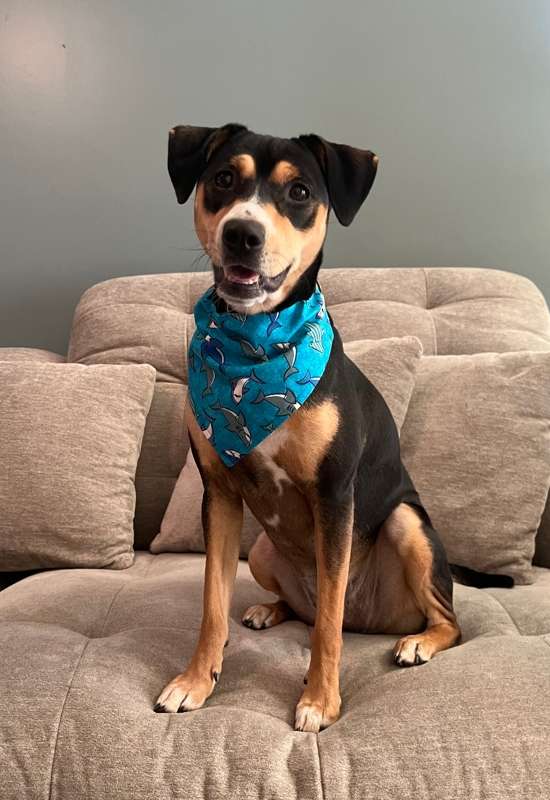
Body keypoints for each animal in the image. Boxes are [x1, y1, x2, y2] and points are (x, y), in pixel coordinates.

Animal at [153, 125, 464, 732]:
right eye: (222, 178)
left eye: (298, 192)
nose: (242, 234)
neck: (254, 342)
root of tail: (374, 620)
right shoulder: (219, 493)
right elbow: (211, 606)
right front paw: (196, 681)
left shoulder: (334, 495)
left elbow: (327, 628)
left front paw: (320, 701)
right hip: (262, 551)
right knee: (306, 609)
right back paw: (269, 609)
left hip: (406, 523)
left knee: (442, 620)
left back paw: (417, 642)